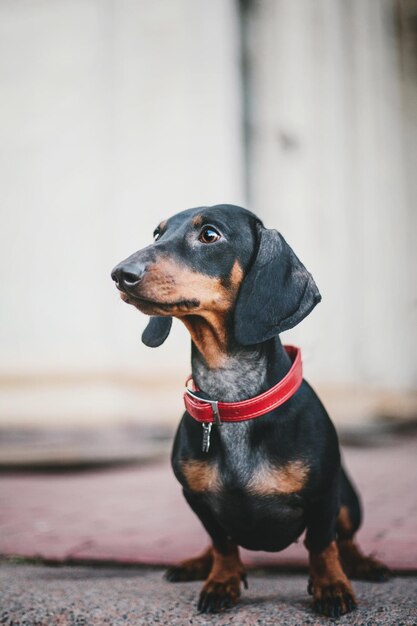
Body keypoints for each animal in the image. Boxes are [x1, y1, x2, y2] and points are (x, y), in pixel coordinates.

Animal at [111, 204, 390, 616]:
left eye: (210, 235)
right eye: (157, 234)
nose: (120, 274)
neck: (232, 400)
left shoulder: (325, 494)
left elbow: (322, 543)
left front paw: (331, 586)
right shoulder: (196, 499)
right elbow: (222, 543)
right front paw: (221, 580)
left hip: (348, 499)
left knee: (345, 539)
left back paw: (362, 563)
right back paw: (197, 563)